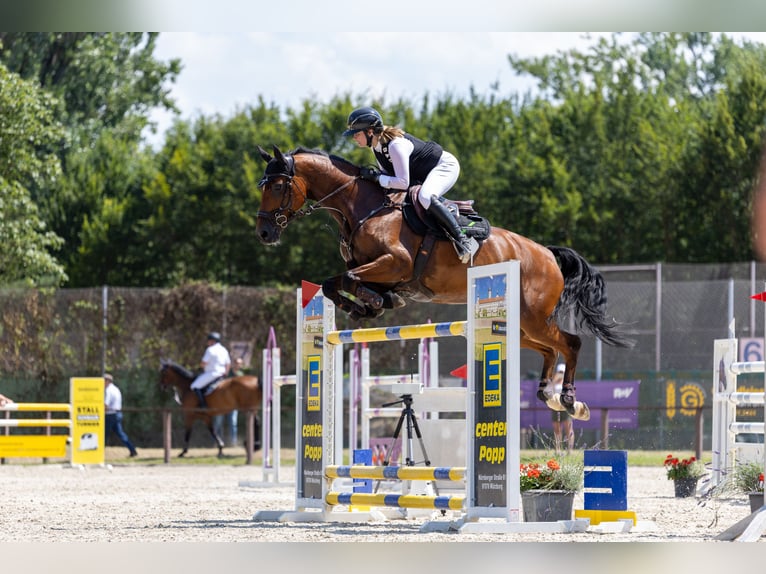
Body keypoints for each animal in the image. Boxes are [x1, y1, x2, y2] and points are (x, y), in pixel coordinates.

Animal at [255, 145, 632, 424]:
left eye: (277, 186)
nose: (264, 233)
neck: (364, 209)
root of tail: (548, 255)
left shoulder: (395, 262)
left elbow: (346, 279)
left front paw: (370, 304)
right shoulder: (375, 270)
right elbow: (335, 283)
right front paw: (372, 304)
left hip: (535, 317)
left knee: (570, 343)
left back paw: (569, 401)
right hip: (522, 326)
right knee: (551, 350)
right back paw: (547, 394)